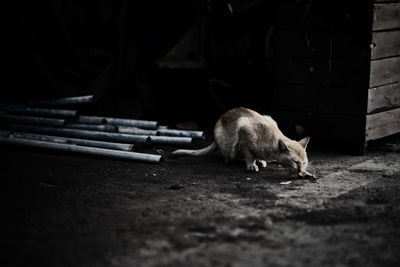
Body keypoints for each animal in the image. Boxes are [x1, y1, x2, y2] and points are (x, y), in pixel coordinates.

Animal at [170, 107, 314, 178]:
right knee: (230, 154)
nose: (300, 169)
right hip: (227, 141)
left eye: (304, 163)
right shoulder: (243, 130)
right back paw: (231, 159)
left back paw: (261, 161)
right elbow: (249, 155)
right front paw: (251, 165)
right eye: (295, 161)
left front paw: (304, 173)